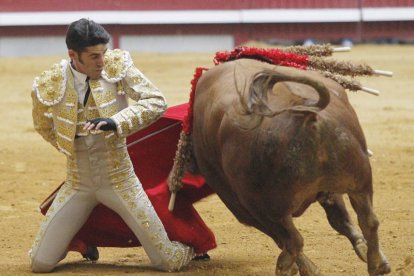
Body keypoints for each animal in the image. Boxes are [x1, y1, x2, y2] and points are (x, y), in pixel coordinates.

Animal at [191, 59, 392, 274]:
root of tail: (305, 112)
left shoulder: (243, 207)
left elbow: (282, 238)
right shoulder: (329, 190)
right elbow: (339, 219)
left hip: (264, 206)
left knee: (293, 240)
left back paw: (287, 267)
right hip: (360, 181)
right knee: (368, 220)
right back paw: (377, 264)